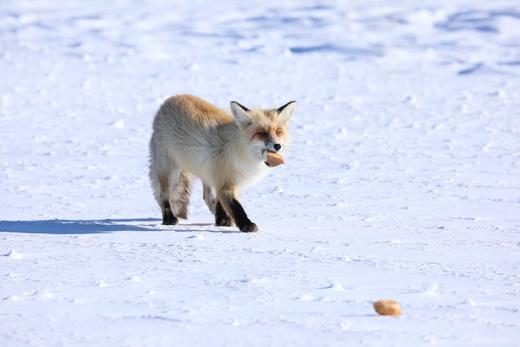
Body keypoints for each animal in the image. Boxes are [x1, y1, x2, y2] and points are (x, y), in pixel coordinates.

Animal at [150, 94, 296, 234]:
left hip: (205, 173)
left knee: (207, 197)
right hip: (170, 171)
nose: (277, 146)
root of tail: (169, 100)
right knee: (164, 195)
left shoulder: (224, 181)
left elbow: (221, 204)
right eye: (262, 133)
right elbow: (236, 207)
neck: (240, 153)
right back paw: (169, 219)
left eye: (278, 132)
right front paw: (246, 225)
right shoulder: (225, 182)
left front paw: (222, 221)